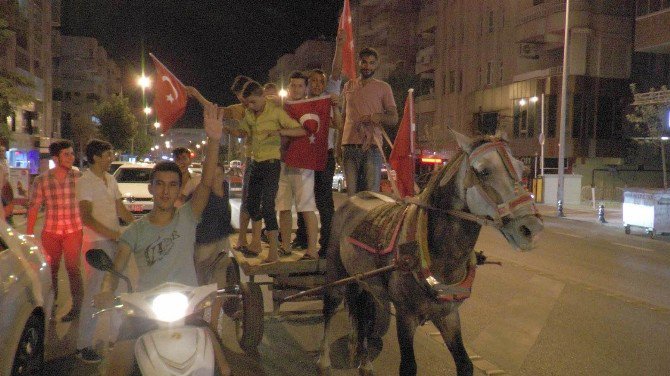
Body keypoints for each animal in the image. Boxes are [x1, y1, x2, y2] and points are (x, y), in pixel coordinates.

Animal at [316, 130, 544, 376]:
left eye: (522, 170)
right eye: (484, 171)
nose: (532, 229)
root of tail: (354, 198)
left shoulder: (448, 315)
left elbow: (465, 363)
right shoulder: (405, 316)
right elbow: (408, 366)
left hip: (366, 282)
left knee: (364, 314)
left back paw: (365, 363)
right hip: (336, 272)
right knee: (330, 307)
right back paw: (324, 361)